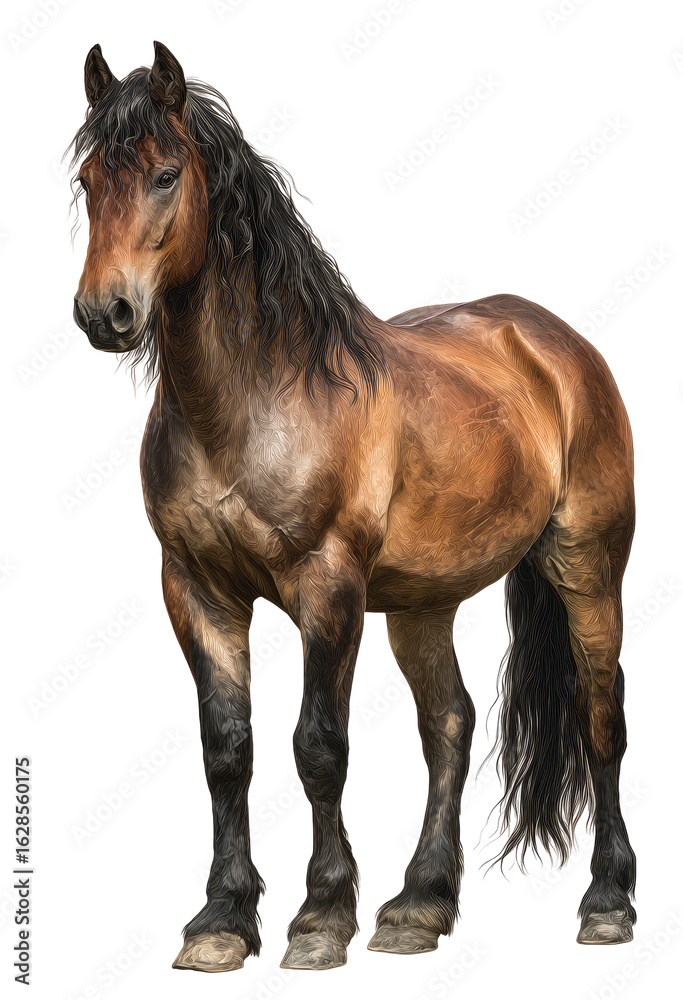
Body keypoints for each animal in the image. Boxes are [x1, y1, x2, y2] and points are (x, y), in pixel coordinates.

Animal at [69, 41, 637, 972]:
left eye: (163, 175)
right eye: (87, 180)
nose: (103, 313)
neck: (255, 401)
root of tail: (552, 342)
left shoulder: (326, 589)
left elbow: (317, 748)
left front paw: (318, 918)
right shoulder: (195, 590)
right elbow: (227, 751)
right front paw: (221, 920)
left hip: (587, 570)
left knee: (600, 717)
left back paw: (607, 902)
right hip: (421, 603)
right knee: (449, 724)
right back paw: (417, 906)